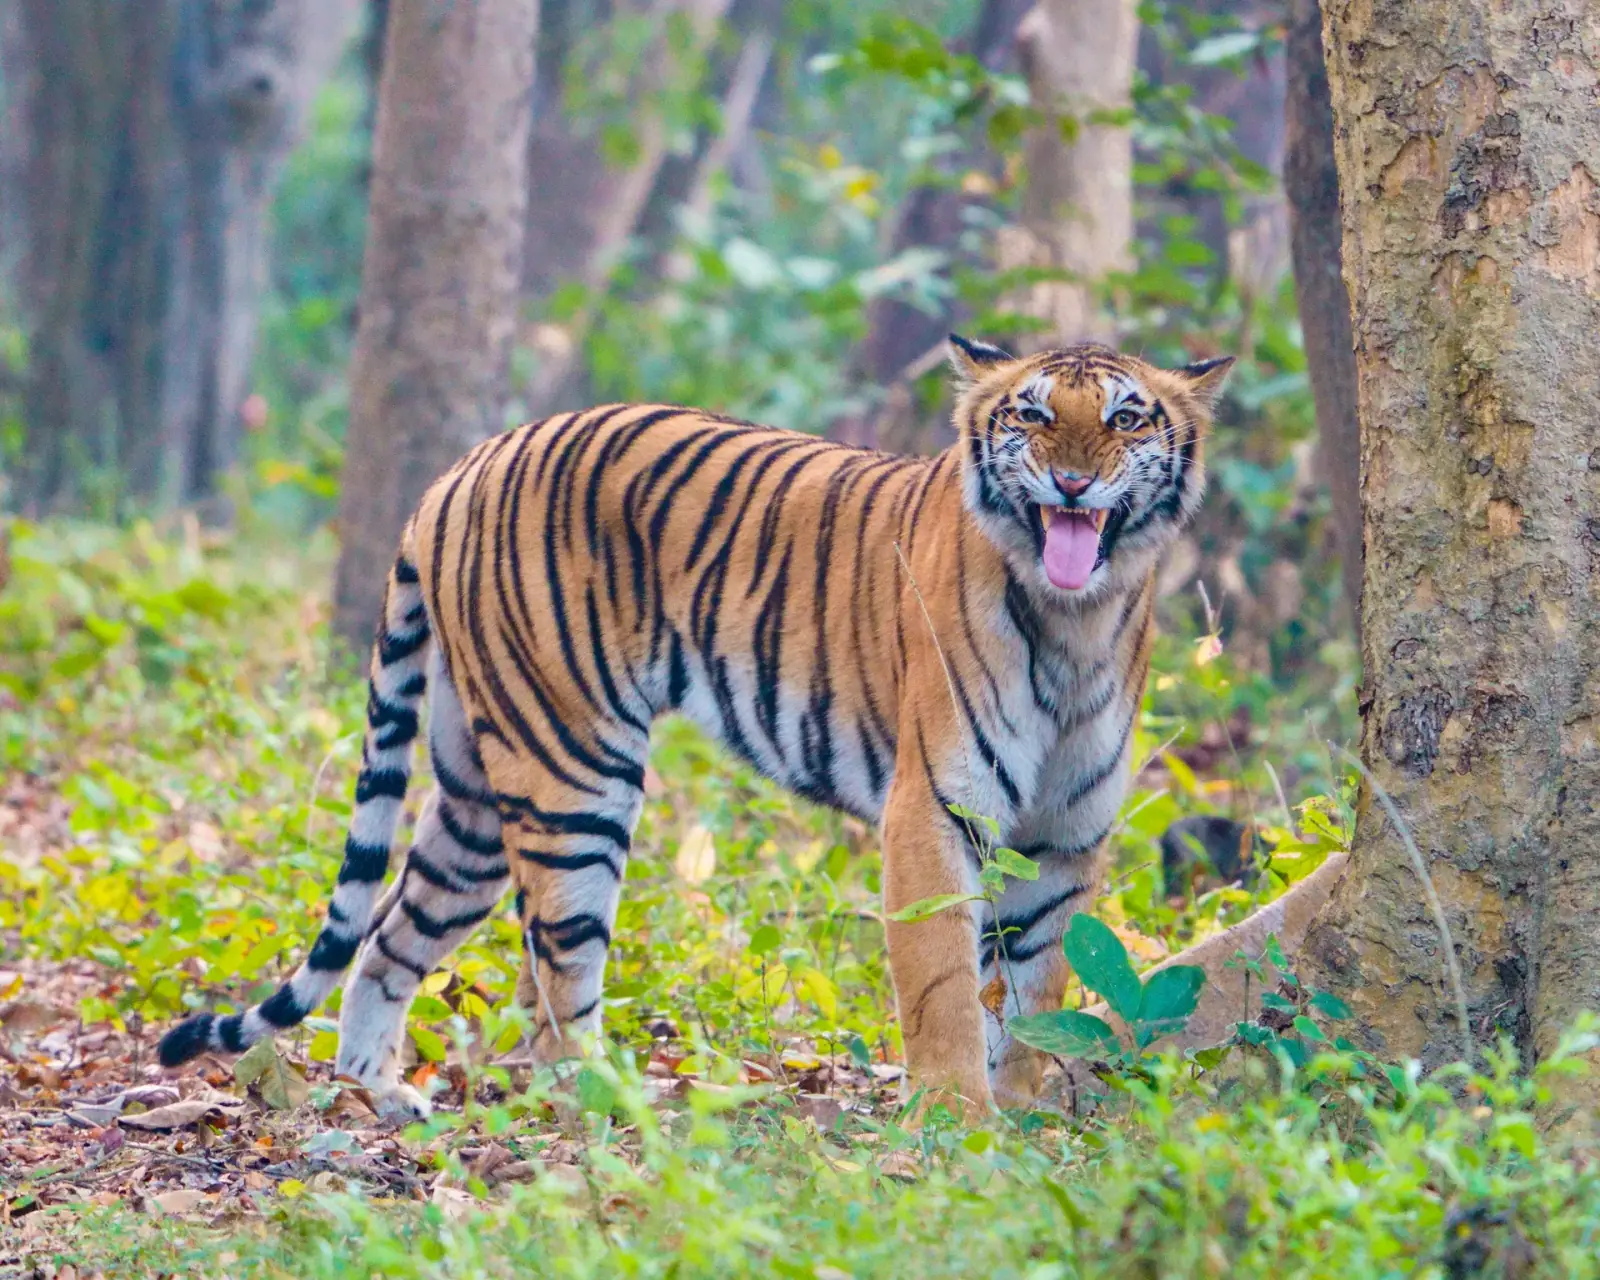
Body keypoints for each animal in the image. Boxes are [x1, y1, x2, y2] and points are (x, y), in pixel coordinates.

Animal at [158, 336, 1231, 1119]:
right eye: (1033, 415)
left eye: (1126, 419)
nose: (1072, 485)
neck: (1076, 621)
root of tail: (465, 464)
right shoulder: (935, 811)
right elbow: (944, 991)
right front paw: (954, 1127)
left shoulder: (1066, 834)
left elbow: (1039, 990)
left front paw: (1023, 1121)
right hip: (571, 771)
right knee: (556, 989)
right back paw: (609, 1108)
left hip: (472, 792)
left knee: (389, 936)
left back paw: (378, 1097)